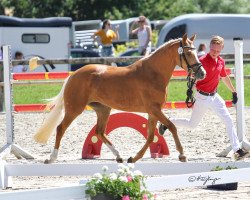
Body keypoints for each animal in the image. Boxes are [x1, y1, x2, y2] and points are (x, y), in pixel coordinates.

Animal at [34, 33, 205, 163]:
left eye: (196, 52)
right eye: (188, 53)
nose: (202, 73)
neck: (153, 74)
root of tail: (74, 75)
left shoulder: (153, 112)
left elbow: (151, 137)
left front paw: (134, 158)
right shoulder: (154, 109)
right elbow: (171, 126)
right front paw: (182, 155)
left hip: (103, 109)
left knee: (99, 132)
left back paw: (118, 156)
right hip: (75, 109)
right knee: (61, 128)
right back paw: (52, 158)